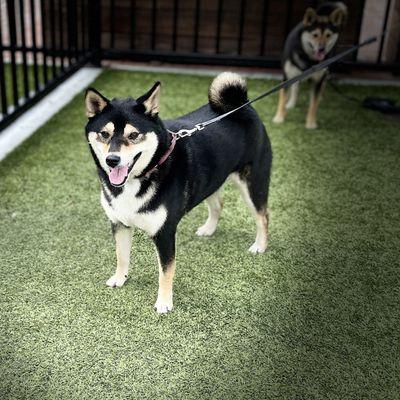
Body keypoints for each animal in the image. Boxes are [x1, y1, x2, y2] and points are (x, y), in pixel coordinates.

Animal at [84, 73, 272, 314]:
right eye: (104, 134)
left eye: (134, 135)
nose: (112, 160)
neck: (142, 175)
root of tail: (242, 106)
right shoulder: (119, 223)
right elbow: (121, 255)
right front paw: (120, 278)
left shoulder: (164, 232)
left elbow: (166, 272)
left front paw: (164, 303)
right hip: (210, 179)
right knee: (218, 204)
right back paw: (209, 229)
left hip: (252, 183)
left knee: (262, 216)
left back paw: (260, 245)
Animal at [272, 1, 346, 129]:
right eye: (315, 35)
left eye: (328, 35)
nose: (322, 49)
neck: (308, 58)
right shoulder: (287, 76)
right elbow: (282, 98)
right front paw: (279, 118)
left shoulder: (317, 80)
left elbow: (313, 104)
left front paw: (311, 123)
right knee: (295, 88)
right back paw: (291, 103)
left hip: (326, 71)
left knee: (322, 85)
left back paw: (320, 97)